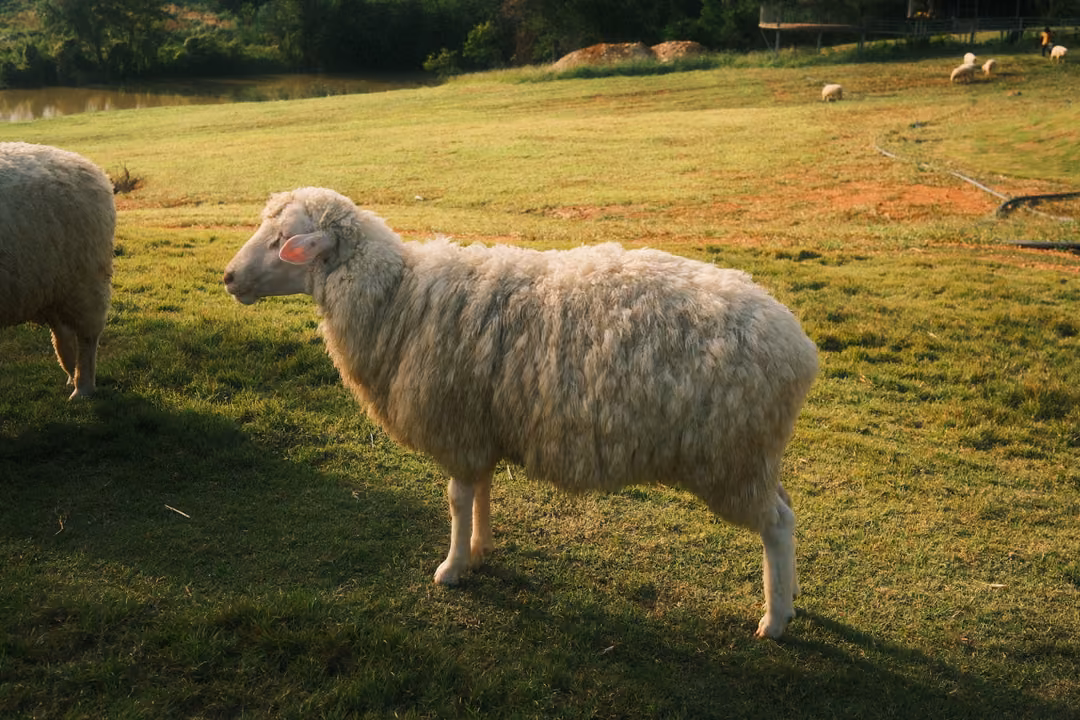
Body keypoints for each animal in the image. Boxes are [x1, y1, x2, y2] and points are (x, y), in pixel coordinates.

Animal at [0, 142, 115, 399]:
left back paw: (82, 388)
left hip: (84, 281)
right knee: (63, 334)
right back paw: (71, 377)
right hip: (51, 287)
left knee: (87, 336)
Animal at [223, 187, 819, 639]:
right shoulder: (480, 428)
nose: (228, 277)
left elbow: (456, 500)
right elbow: (481, 493)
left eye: (282, 241)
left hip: (729, 457)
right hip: (754, 455)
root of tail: (798, 344)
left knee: (778, 524)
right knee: (786, 508)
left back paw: (774, 620)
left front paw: (451, 568)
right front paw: (480, 549)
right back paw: (790, 595)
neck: (398, 296)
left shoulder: (458, 427)